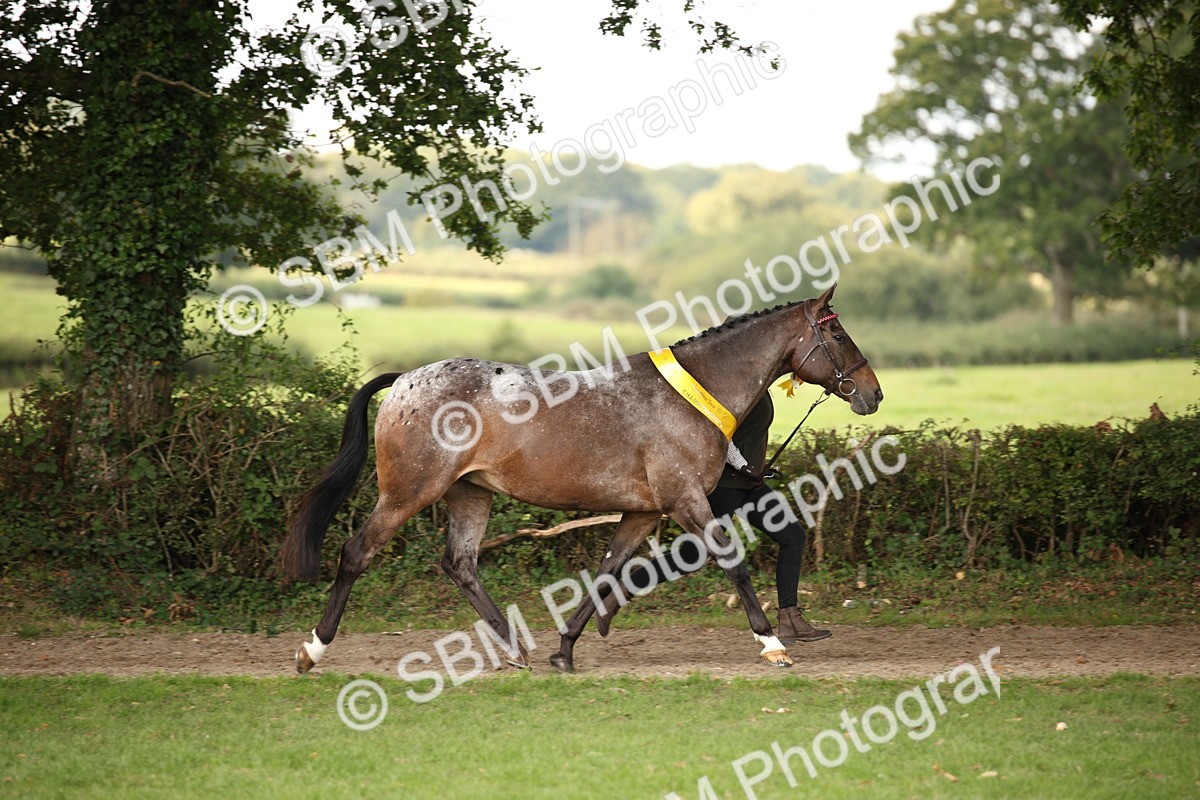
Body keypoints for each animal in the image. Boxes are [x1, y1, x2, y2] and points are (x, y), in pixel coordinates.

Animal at [281, 283, 883, 674]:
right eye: (839, 336)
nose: (874, 393)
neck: (694, 393)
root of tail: (405, 379)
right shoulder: (687, 501)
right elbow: (732, 564)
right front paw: (771, 644)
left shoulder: (643, 511)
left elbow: (607, 571)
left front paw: (565, 649)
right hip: (407, 493)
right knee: (356, 553)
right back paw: (313, 650)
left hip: (470, 495)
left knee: (460, 564)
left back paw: (515, 651)